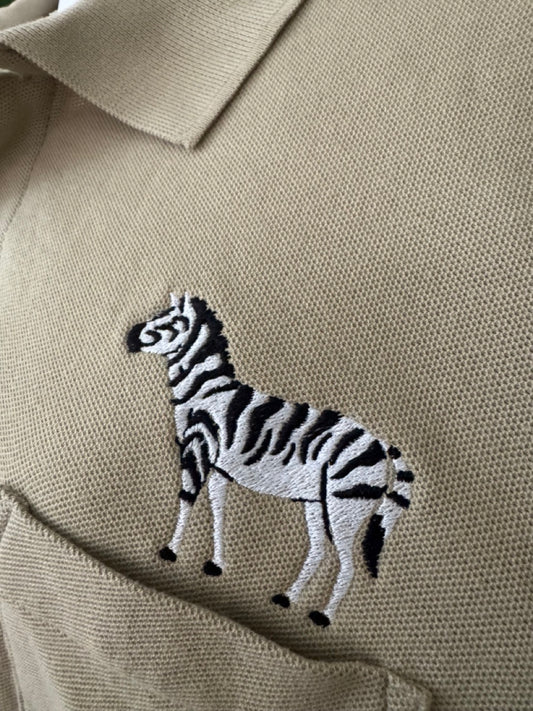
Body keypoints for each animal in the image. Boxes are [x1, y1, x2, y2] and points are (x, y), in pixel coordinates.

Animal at [126, 292, 414, 627]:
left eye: (170, 321)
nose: (130, 337)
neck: (206, 392)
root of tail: (382, 445)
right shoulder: (219, 468)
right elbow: (218, 512)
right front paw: (215, 564)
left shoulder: (199, 447)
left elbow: (187, 498)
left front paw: (170, 550)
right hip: (317, 502)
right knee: (318, 550)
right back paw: (286, 598)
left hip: (346, 504)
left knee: (347, 564)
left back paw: (322, 616)